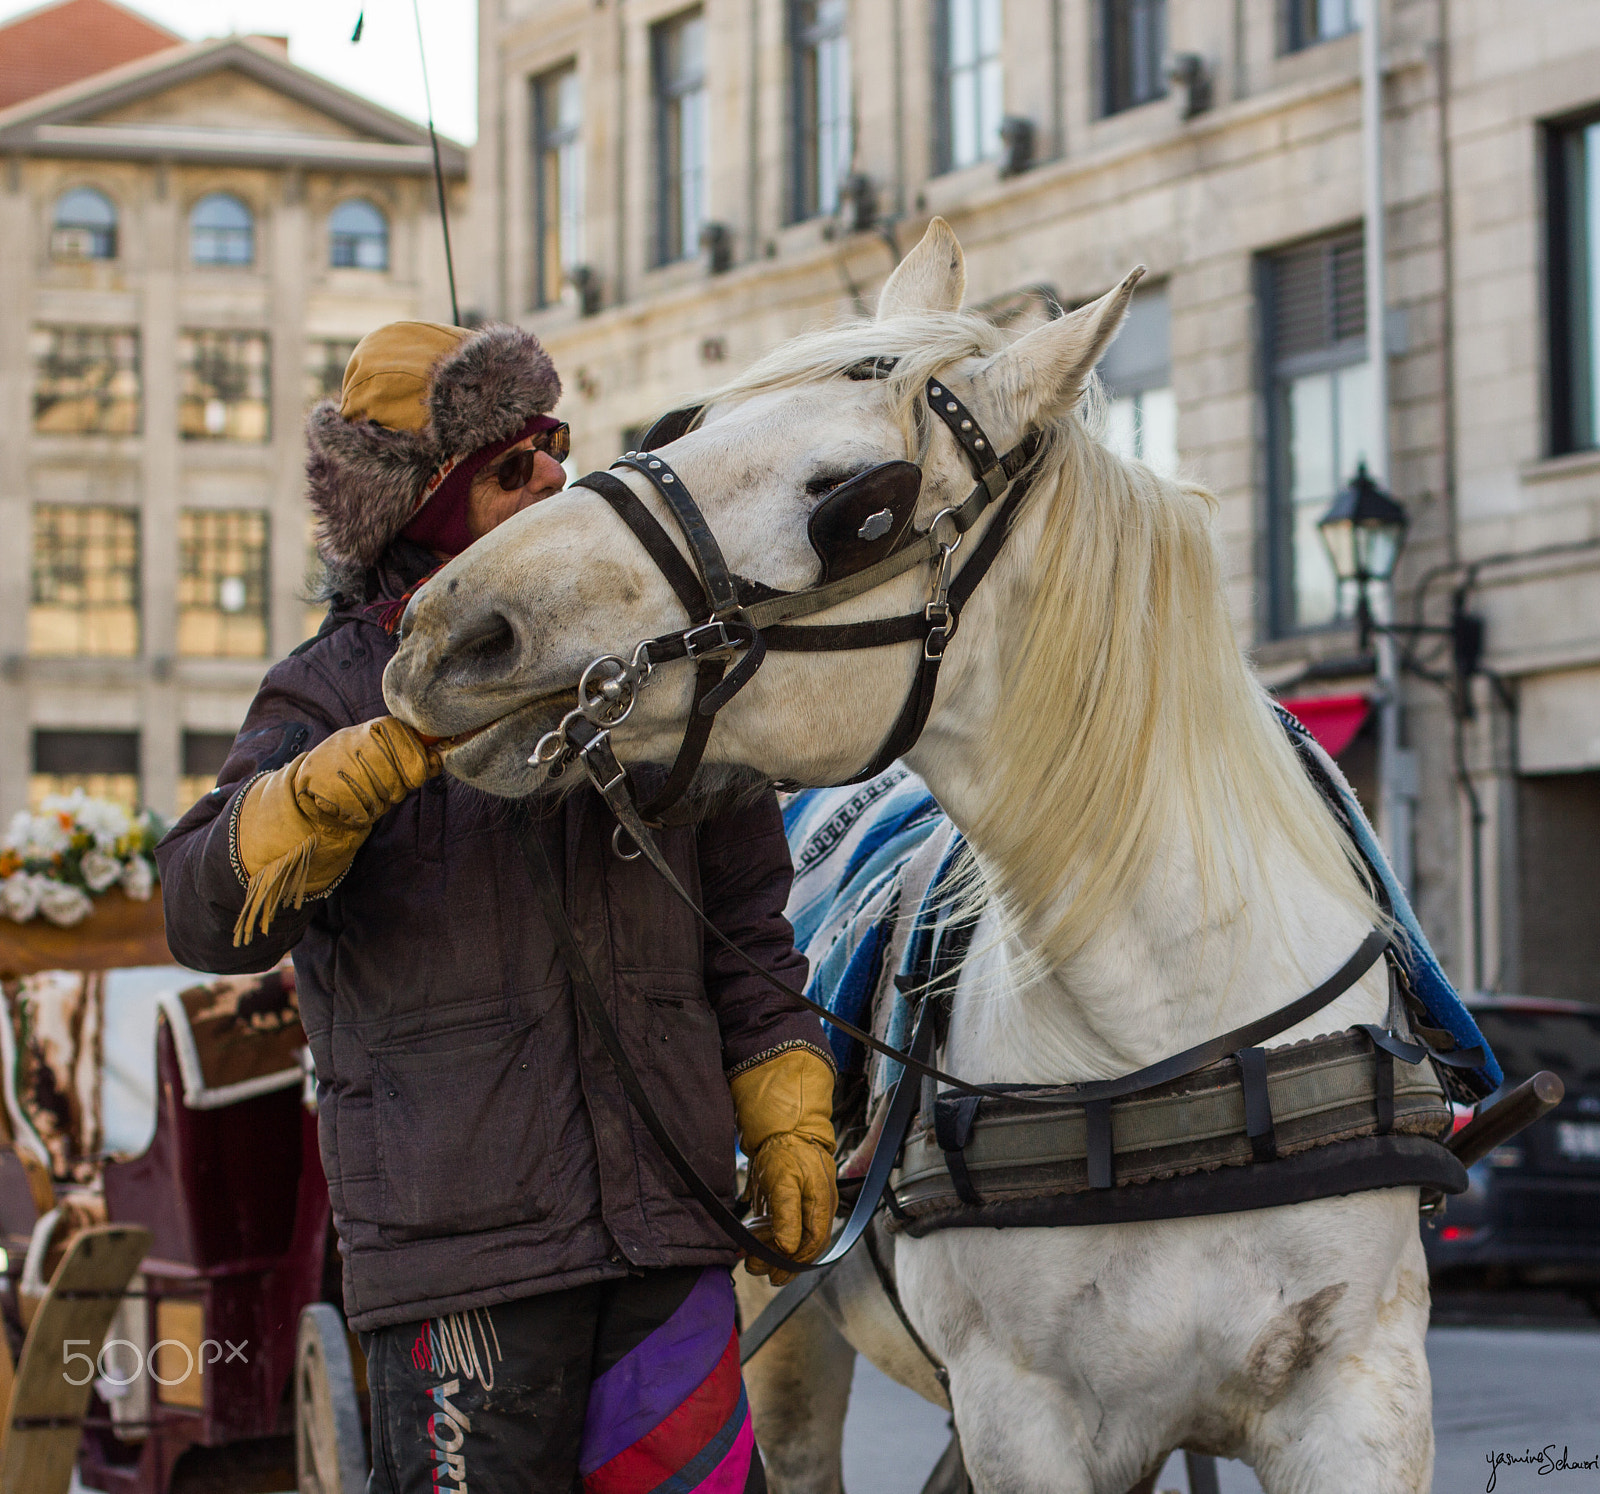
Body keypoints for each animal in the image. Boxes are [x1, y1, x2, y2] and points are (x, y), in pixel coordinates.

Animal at [384, 222, 1440, 1494]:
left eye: (860, 507)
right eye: (683, 424)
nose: (450, 627)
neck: (1171, 1033)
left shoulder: (1360, 1399)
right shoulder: (1022, 1418)